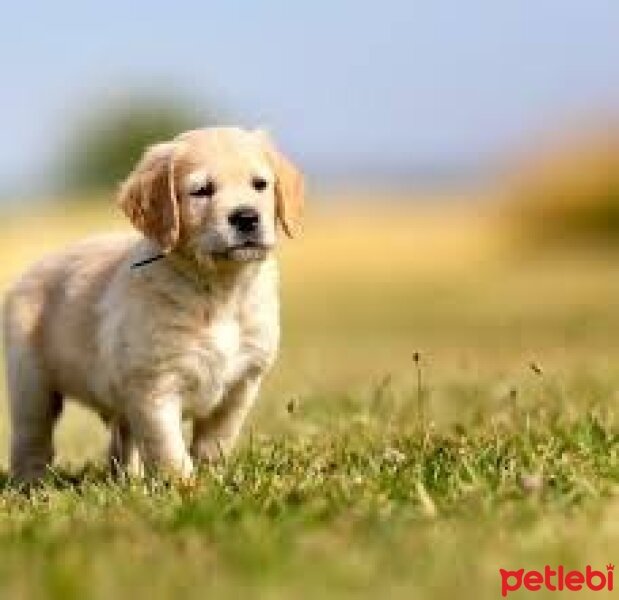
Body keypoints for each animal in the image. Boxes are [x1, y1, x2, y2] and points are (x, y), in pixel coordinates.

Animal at [1, 127, 304, 482]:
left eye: (260, 184)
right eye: (201, 191)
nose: (246, 217)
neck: (218, 289)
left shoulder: (242, 383)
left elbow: (216, 440)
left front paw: (212, 478)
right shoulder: (154, 385)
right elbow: (168, 447)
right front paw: (184, 485)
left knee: (122, 439)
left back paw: (126, 479)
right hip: (30, 382)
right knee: (32, 437)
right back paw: (30, 483)